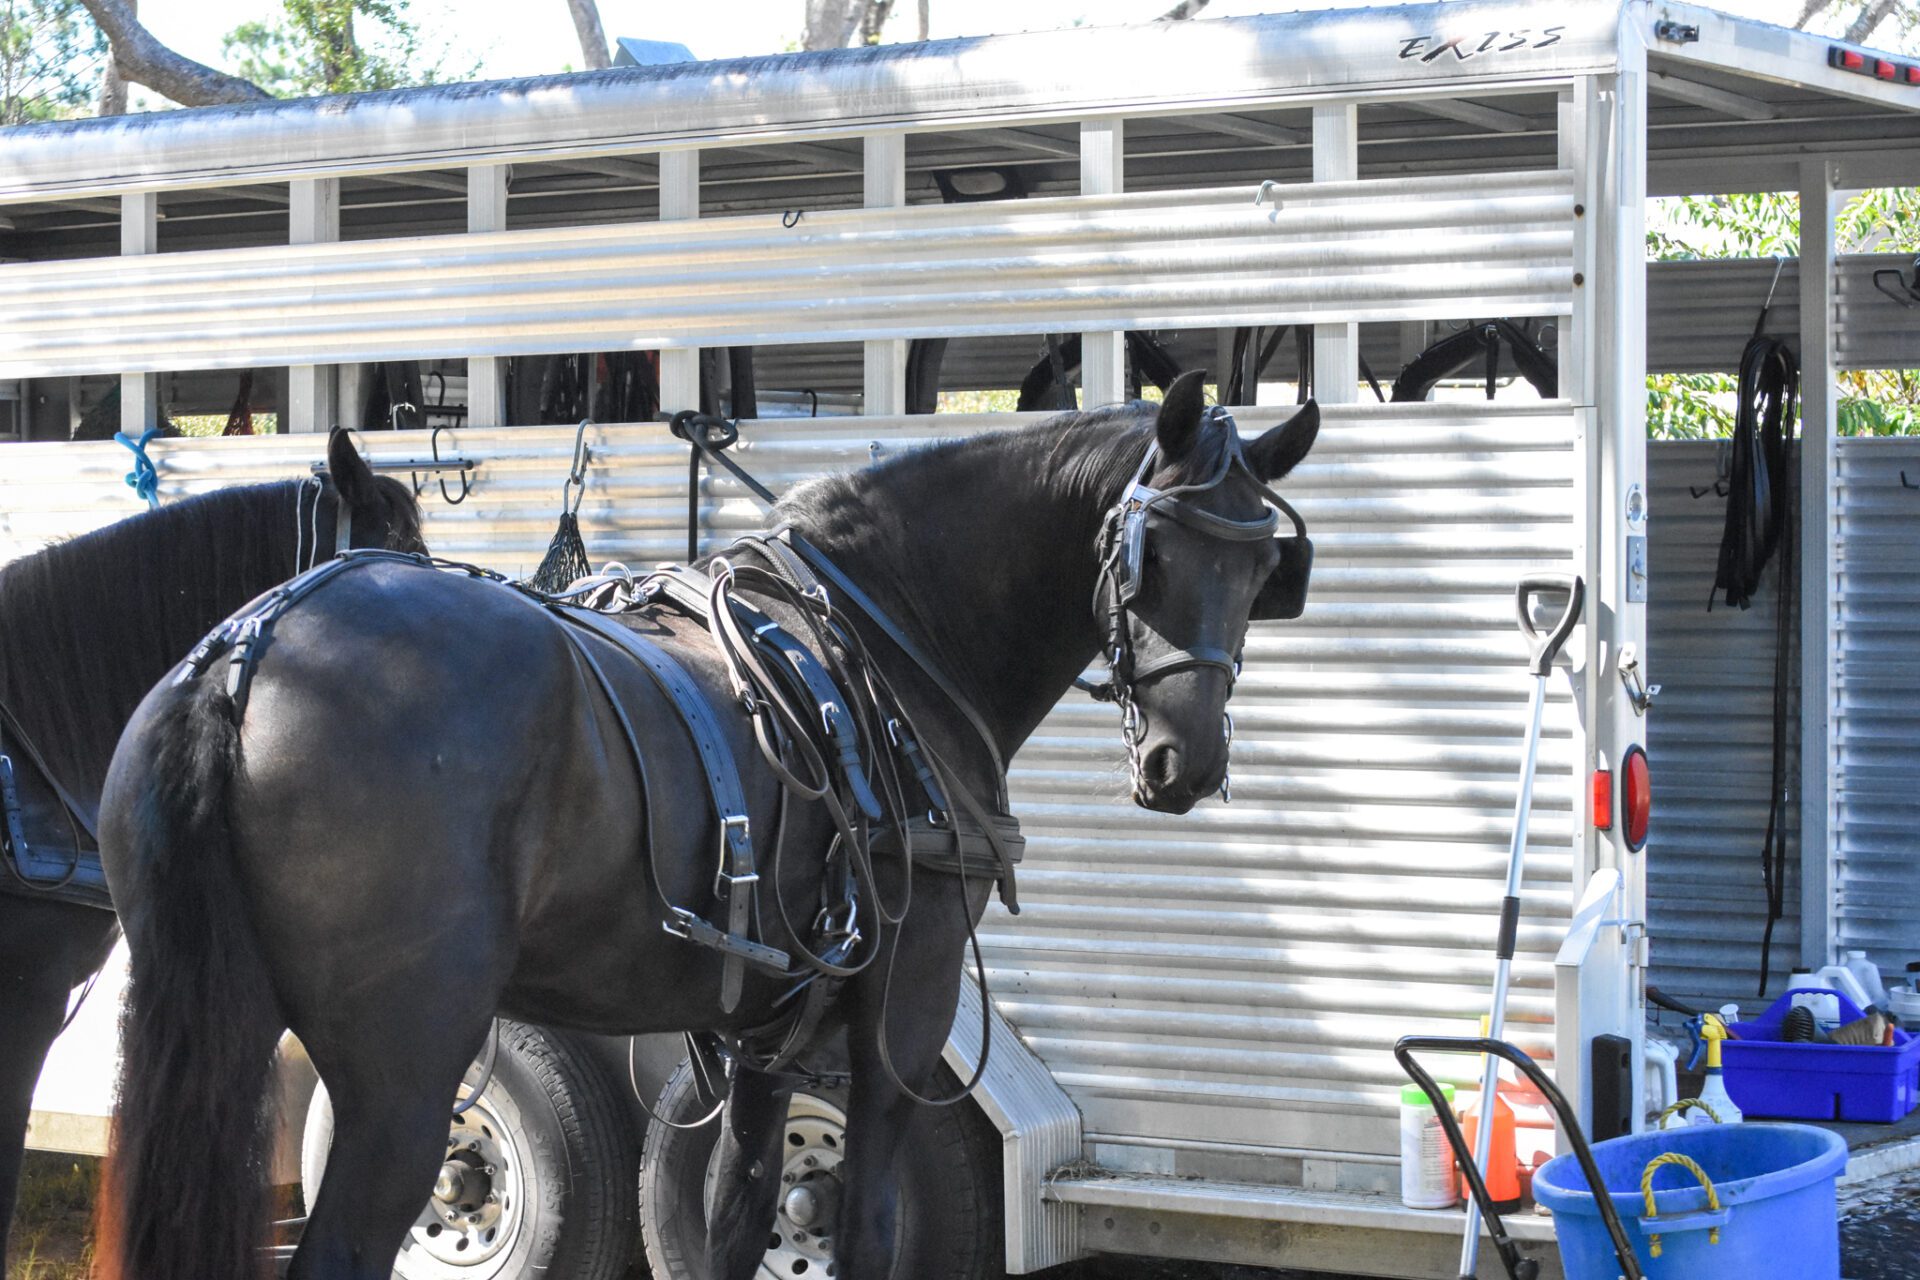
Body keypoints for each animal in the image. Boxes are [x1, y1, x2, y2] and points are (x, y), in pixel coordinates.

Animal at [94, 370, 1319, 1280]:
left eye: (1267, 566)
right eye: (1153, 558)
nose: (1187, 762)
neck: (888, 634)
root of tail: (252, 649)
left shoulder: (764, 1029)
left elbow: (738, 1216)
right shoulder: (901, 1009)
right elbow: (865, 1226)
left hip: (227, 1032)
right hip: (407, 1067)